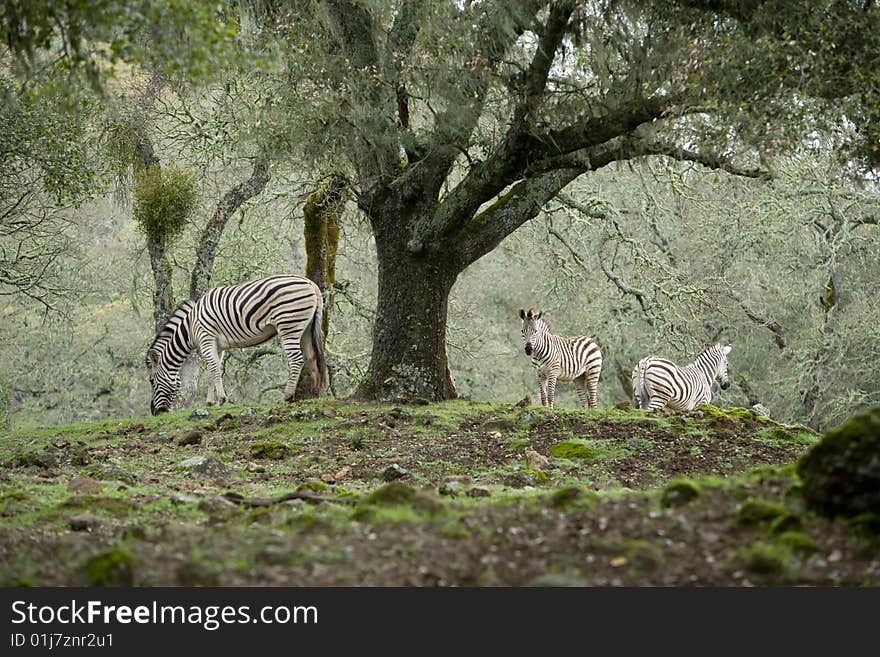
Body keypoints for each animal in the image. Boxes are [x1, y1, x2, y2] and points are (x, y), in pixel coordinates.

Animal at [146, 274, 328, 412]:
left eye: (152, 381)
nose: (154, 412)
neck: (190, 326)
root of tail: (312, 284)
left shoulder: (206, 339)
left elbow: (213, 368)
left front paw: (221, 399)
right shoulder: (217, 346)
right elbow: (214, 369)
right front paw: (211, 402)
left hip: (288, 326)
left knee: (296, 359)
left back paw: (287, 396)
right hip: (305, 329)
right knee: (311, 357)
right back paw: (315, 393)